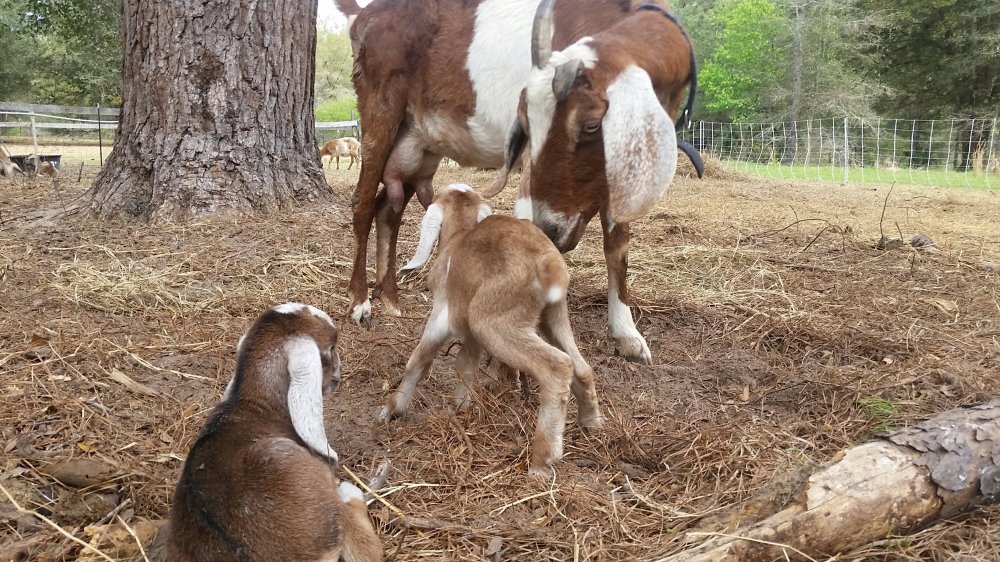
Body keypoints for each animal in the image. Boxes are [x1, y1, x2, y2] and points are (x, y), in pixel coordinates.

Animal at [334, 0, 700, 365]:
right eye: (526, 123)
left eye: (592, 124)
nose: (551, 228)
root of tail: (364, 16)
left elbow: (618, 243)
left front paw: (627, 335)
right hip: (379, 109)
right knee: (363, 204)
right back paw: (360, 301)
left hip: (417, 144)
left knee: (389, 208)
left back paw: (390, 297)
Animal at [378, 184, 603, 475]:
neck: (457, 238)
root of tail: (549, 263)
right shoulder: (471, 335)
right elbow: (465, 366)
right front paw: (458, 407)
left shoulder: (442, 315)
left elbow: (418, 358)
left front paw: (392, 408)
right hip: (553, 315)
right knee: (582, 367)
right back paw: (591, 422)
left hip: (493, 320)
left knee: (557, 366)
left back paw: (543, 459)